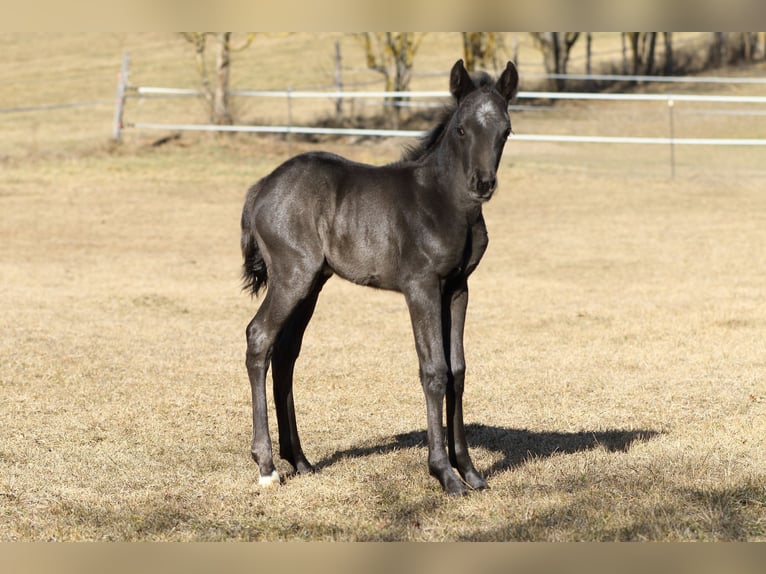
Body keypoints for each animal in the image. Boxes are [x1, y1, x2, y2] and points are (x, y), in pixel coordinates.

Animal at [243, 60, 520, 498]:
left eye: (505, 130)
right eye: (461, 129)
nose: (482, 183)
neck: (444, 203)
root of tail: (261, 188)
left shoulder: (458, 288)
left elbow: (457, 371)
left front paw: (471, 472)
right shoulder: (421, 286)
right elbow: (434, 371)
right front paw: (445, 474)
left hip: (312, 283)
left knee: (284, 352)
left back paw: (299, 460)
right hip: (292, 276)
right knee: (259, 338)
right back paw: (267, 466)